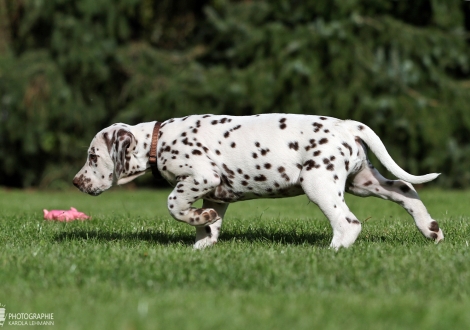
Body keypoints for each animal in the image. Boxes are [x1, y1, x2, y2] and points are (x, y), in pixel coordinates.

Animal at [73, 114, 444, 249]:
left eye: (92, 157)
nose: (76, 183)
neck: (159, 139)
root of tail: (349, 125)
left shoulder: (201, 176)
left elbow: (174, 204)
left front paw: (195, 222)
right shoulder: (216, 193)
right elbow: (208, 225)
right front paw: (201, 244)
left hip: (318, 182)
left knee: (348, 223)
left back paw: (334, 251)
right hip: (363, 181)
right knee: (406, 191)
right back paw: (431, 230)